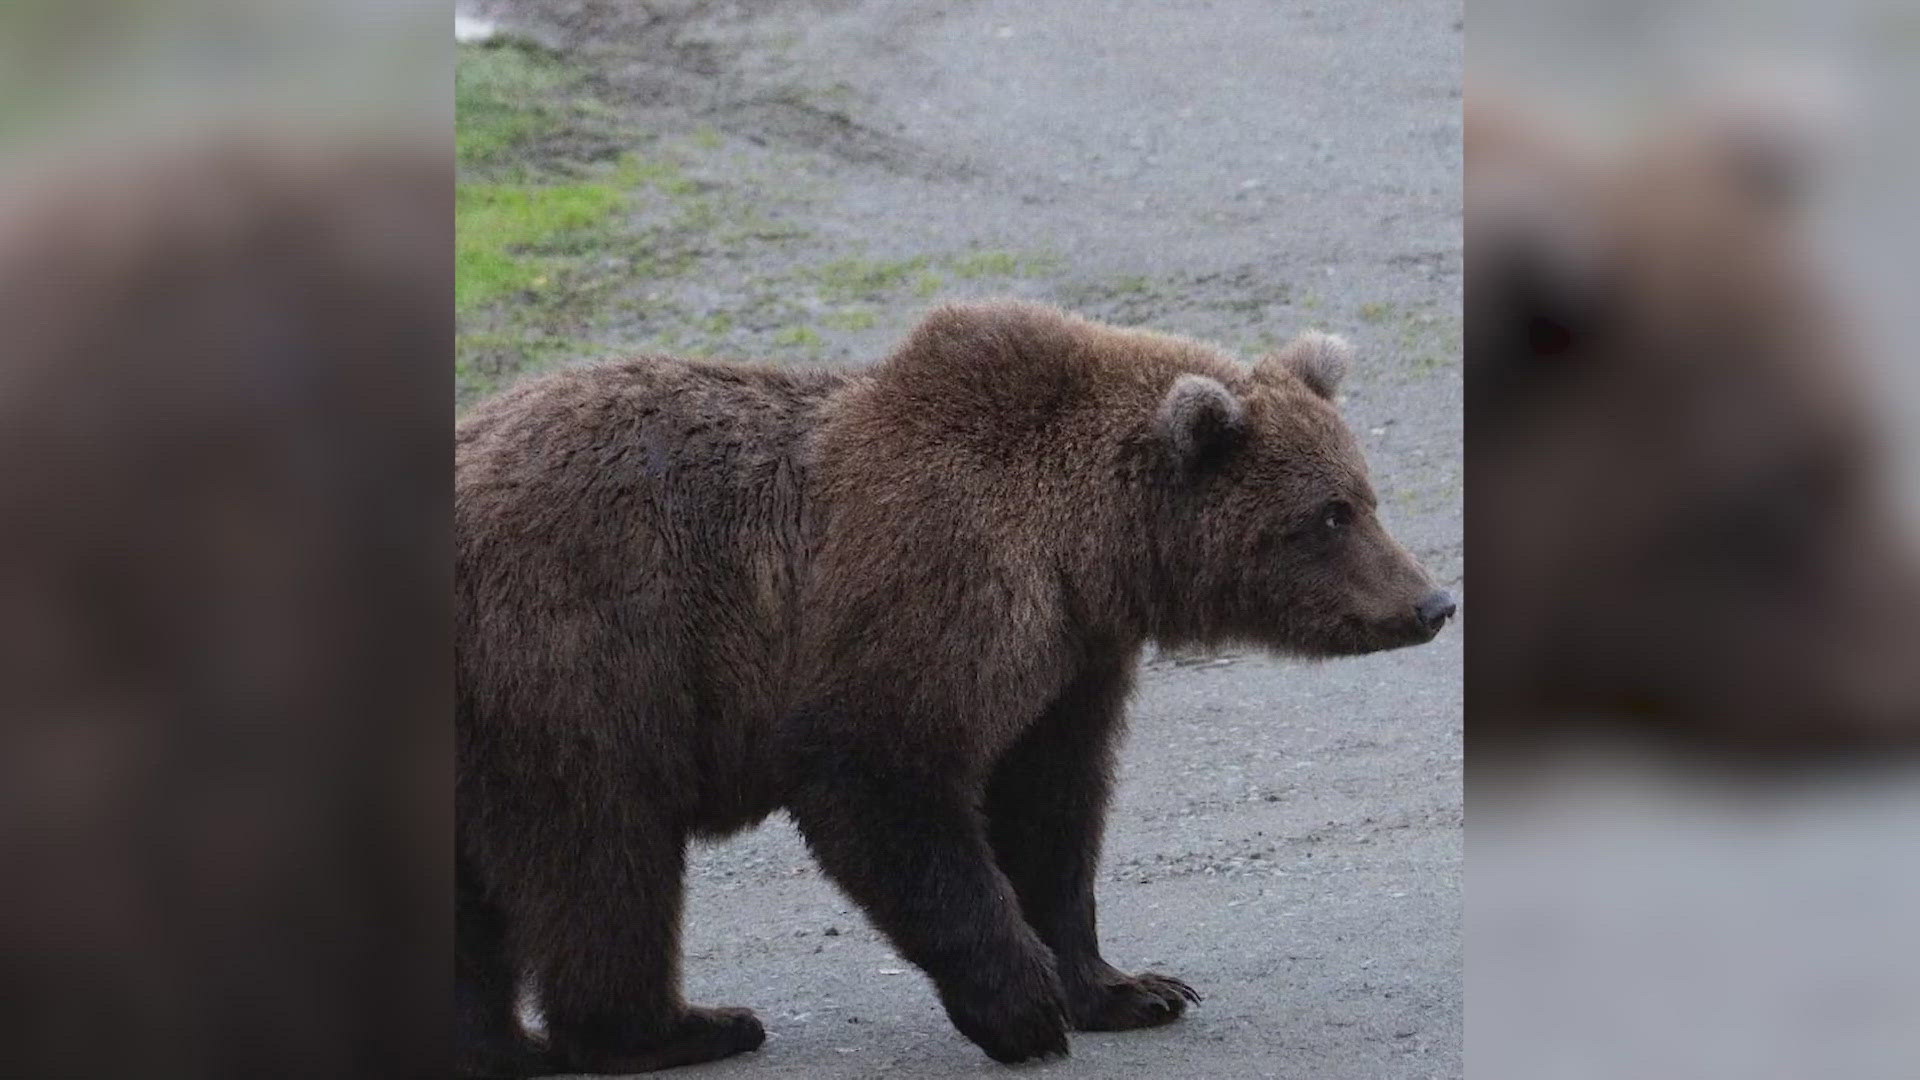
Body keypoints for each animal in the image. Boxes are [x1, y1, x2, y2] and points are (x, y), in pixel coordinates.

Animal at [453, 299, 1451, 1068]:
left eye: (1366, 495)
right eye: (1329, 514)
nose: (1432, 601)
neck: (1085, 550)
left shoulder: (1072, 658)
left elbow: (1052, 811)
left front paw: (1130, 987)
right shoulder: (938, 585)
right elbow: (881, 776)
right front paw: (1025, 1006)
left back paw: (506, 1044)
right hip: (578, 663)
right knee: (603, 857)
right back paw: (680, 1027)